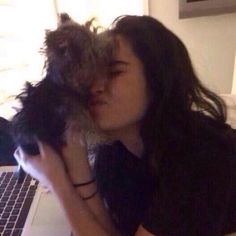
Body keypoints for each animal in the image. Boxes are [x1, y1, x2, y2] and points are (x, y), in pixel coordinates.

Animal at [11, 13, 113, 156]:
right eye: (92, 52)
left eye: (93, 33)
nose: (111, 42)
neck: (64, 85)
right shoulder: (75, 114)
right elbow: (87, 125)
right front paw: (104, 137)